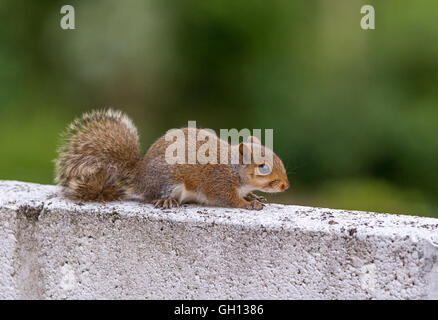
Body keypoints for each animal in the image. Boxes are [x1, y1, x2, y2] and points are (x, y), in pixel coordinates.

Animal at [54, 109, 288, 210]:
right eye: (263, 166)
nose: (285, 186)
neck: (234, 169)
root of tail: (139, 175)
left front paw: (255, 197)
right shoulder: (218, 183)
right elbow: (228, 199)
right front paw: (248, 204)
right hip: (168, 181)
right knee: (153, 196)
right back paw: (166, 201)